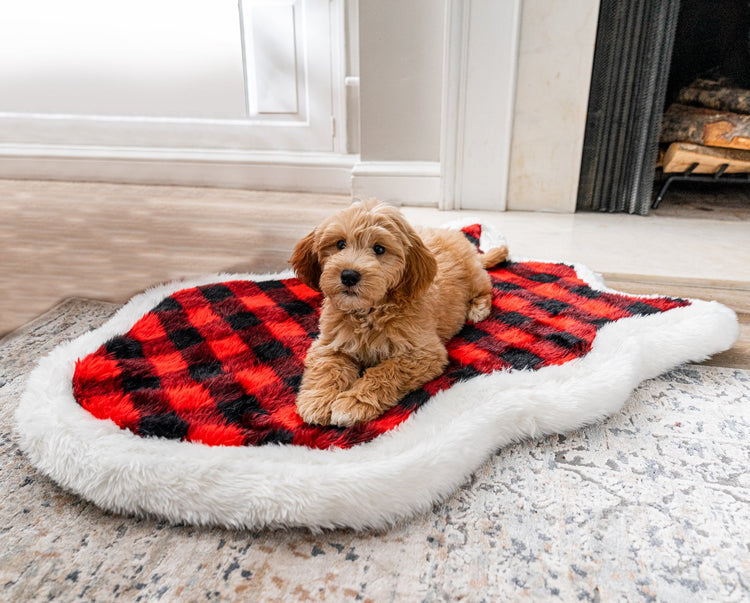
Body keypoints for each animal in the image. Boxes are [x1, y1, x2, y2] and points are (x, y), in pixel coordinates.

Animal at [290, 201, 508, 428]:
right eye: (340, 244)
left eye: (379, 249)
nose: (349, 276)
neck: (369, 312)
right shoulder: (329, 343)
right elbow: (326, 368)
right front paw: (318, 400)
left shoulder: (424, 353)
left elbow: (386, 372)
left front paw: (353, 403)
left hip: (474, 277)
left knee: (487, 288)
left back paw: (478, 309)